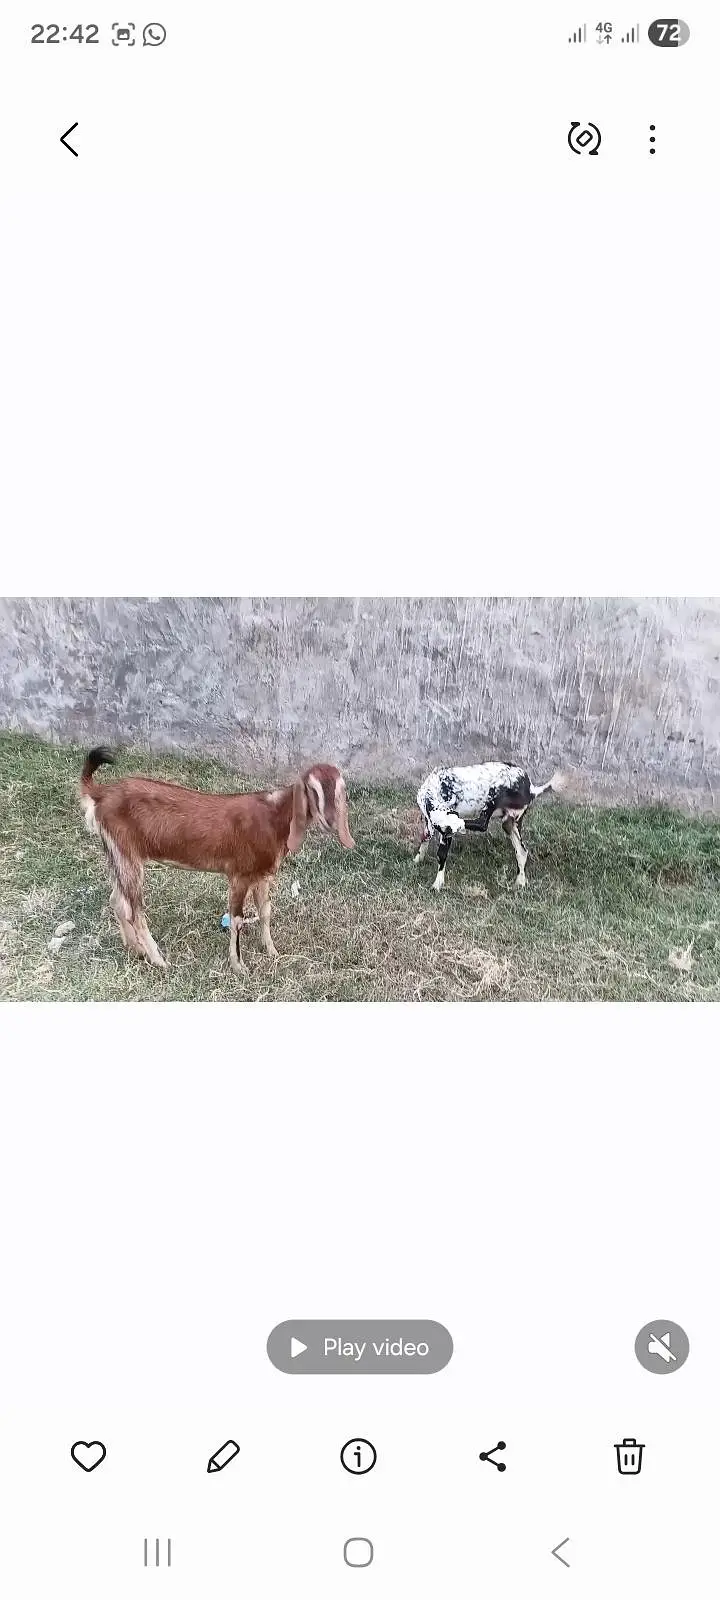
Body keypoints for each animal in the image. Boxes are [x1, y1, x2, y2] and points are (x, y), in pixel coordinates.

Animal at [79, 749, 354, 973]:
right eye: (312, 789)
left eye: (339, 791)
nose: (330, 821)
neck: (274, 816)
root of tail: (101, 794)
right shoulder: (239, 875)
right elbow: (237, 920)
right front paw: (239, 966)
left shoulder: (263, 875)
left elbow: (265, 911)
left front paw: (272, 951)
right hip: (127, 855)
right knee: (135, 911)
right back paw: (158, 960)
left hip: (117, 855)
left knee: (118, 901)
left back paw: (135, 950)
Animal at [414, 762, 565, 891]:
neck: (434, 789)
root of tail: (531, 788)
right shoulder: (431, 822)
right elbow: (426, 837)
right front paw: (417, 859)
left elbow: (441, 855)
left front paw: (437, 884)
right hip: (510, 823)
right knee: (522, 851)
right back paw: (520, 882)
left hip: (494, 796)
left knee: (482, 823)